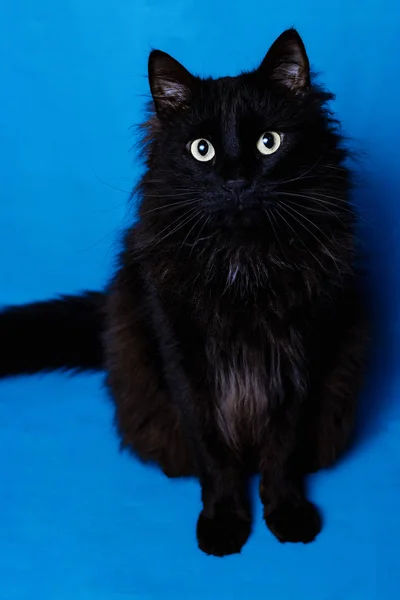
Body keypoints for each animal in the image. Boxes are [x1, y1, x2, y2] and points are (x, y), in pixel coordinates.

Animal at [0, 30, 368, 556]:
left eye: (269, 142)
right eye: (202, 150)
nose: (236, 181)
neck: (244, 261)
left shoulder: (303, 353)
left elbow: (283, 447)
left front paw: (286, 512)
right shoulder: (181, 353)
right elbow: (212, 450)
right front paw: (224, 521)